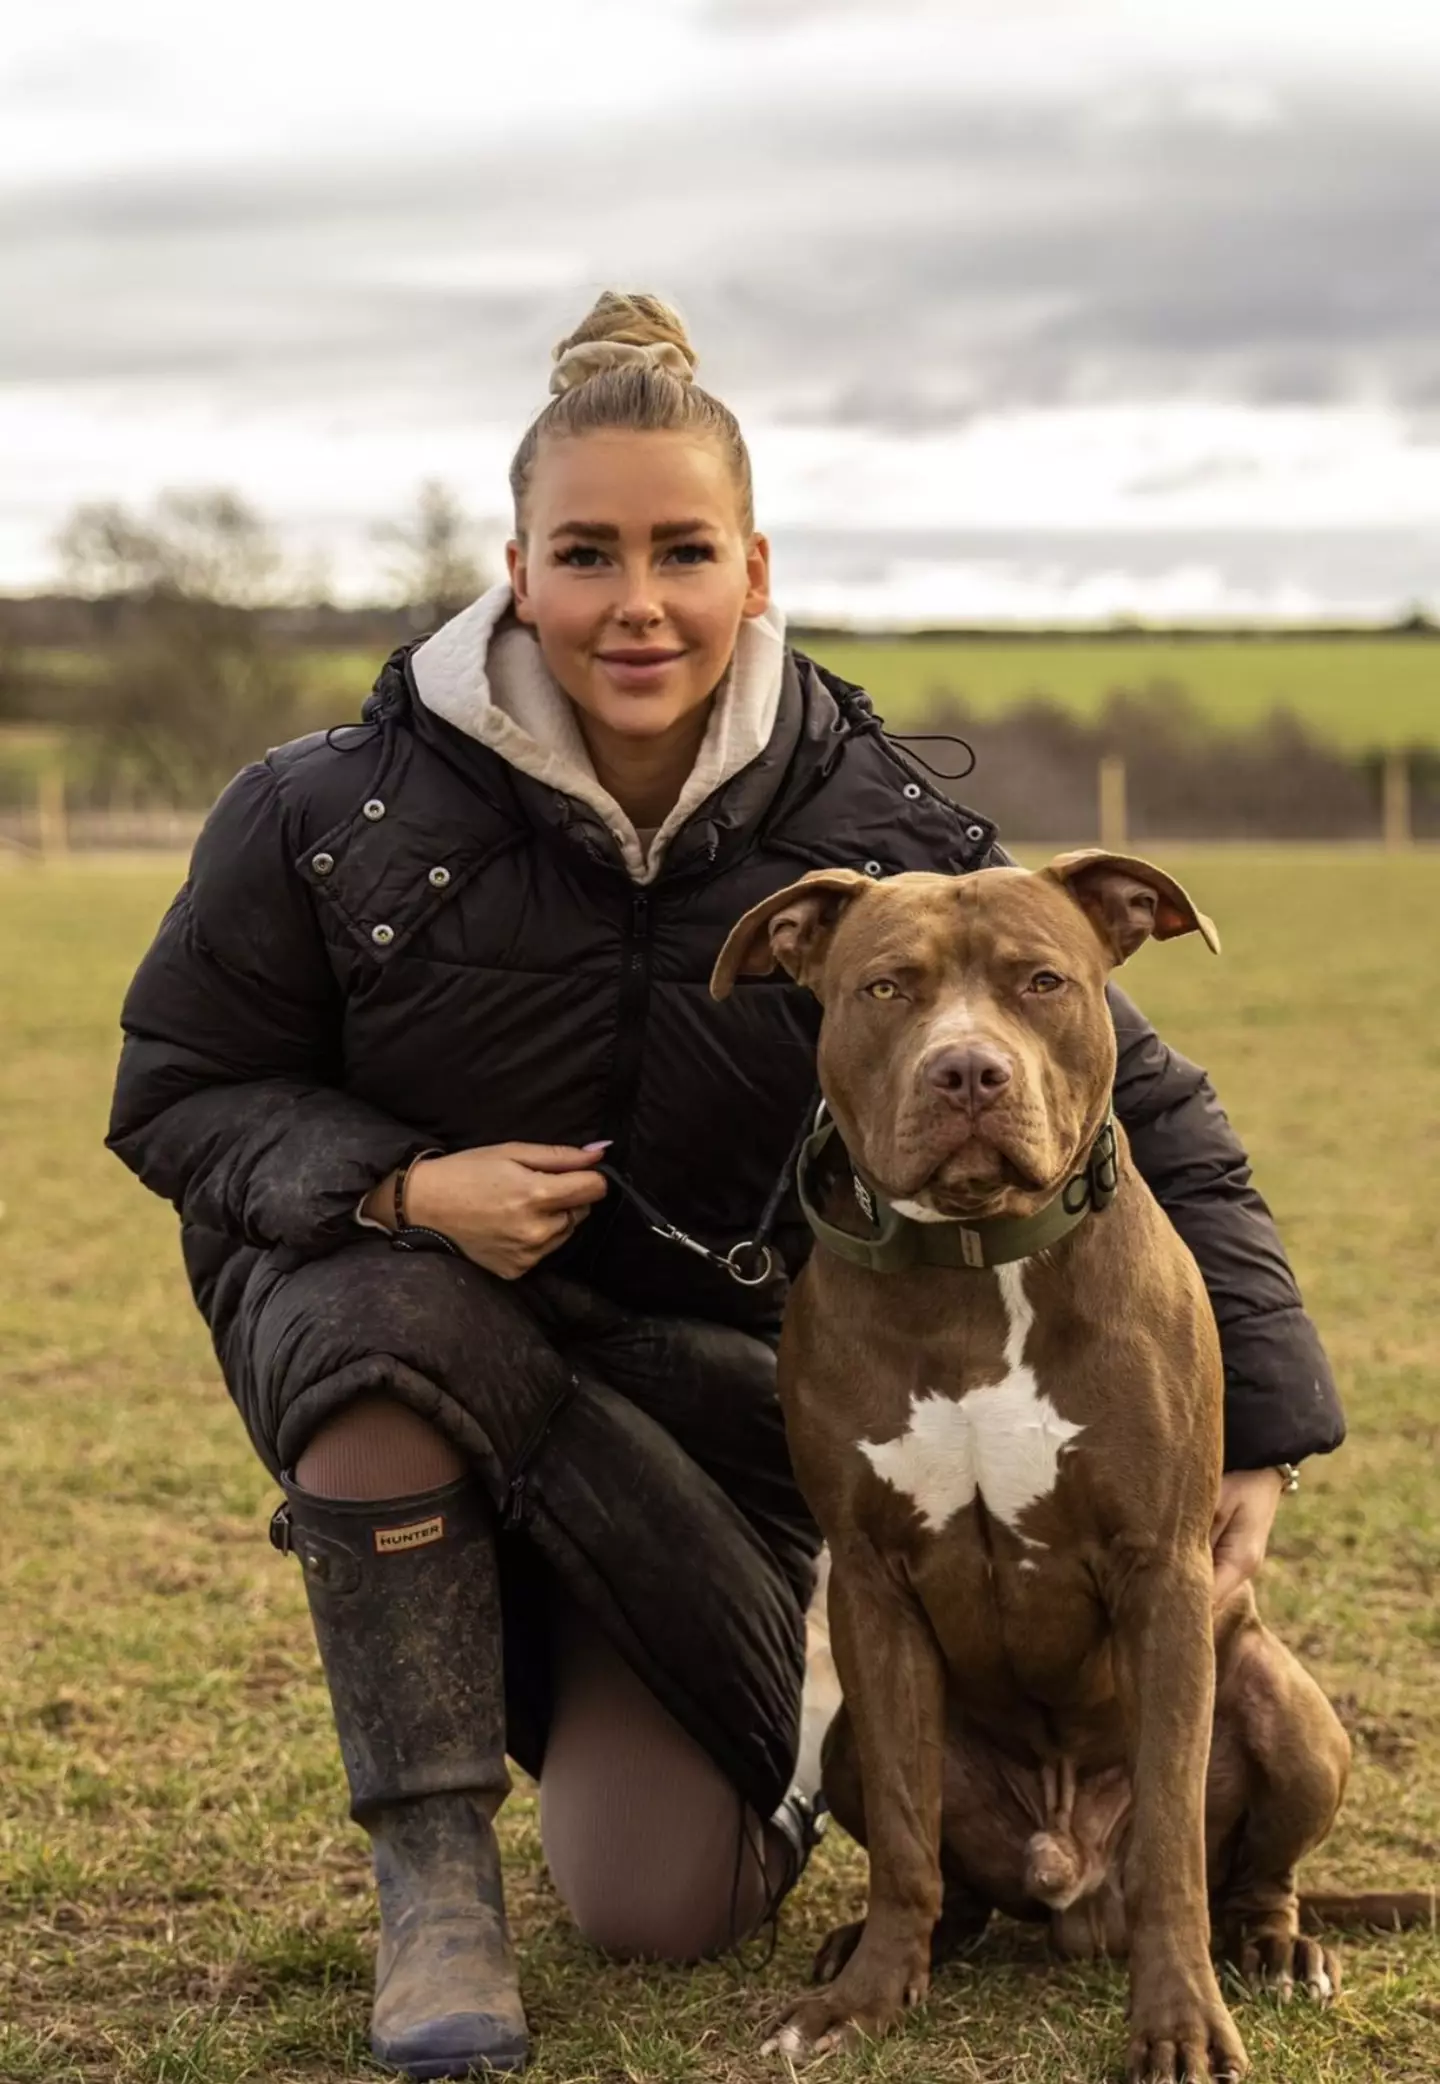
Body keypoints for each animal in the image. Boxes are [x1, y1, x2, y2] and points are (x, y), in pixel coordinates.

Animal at [721, 850, 1367, 2084]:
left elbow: (1170, 1842)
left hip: (1287, 1703)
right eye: (886, 988)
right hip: (849, 1736)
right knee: (948, 1873)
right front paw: (862, 2001)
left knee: (1251, 1873)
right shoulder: (869, 1583)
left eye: (1042, 980)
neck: (978, 1265)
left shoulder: (1164, 1574)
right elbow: (907, 1844)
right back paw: (880, 1948)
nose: (968, 1070)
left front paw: (1181, 2025)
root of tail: (1072, 1888)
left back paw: (1277, 1949)